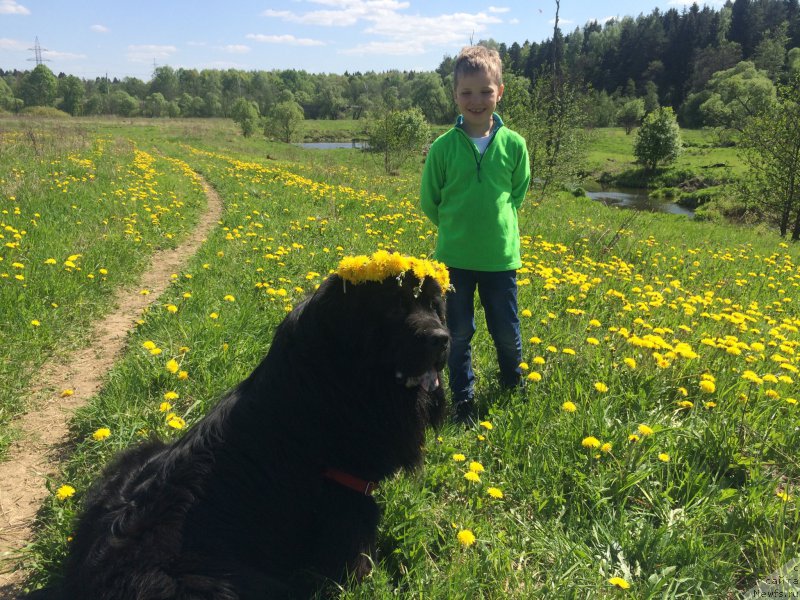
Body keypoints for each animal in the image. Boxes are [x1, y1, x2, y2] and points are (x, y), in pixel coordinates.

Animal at [31, 253, 454, 600]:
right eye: (394, 307)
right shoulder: (345, 491)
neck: (333, 375)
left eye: (433, 306)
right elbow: (354, 547)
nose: (442, 339)